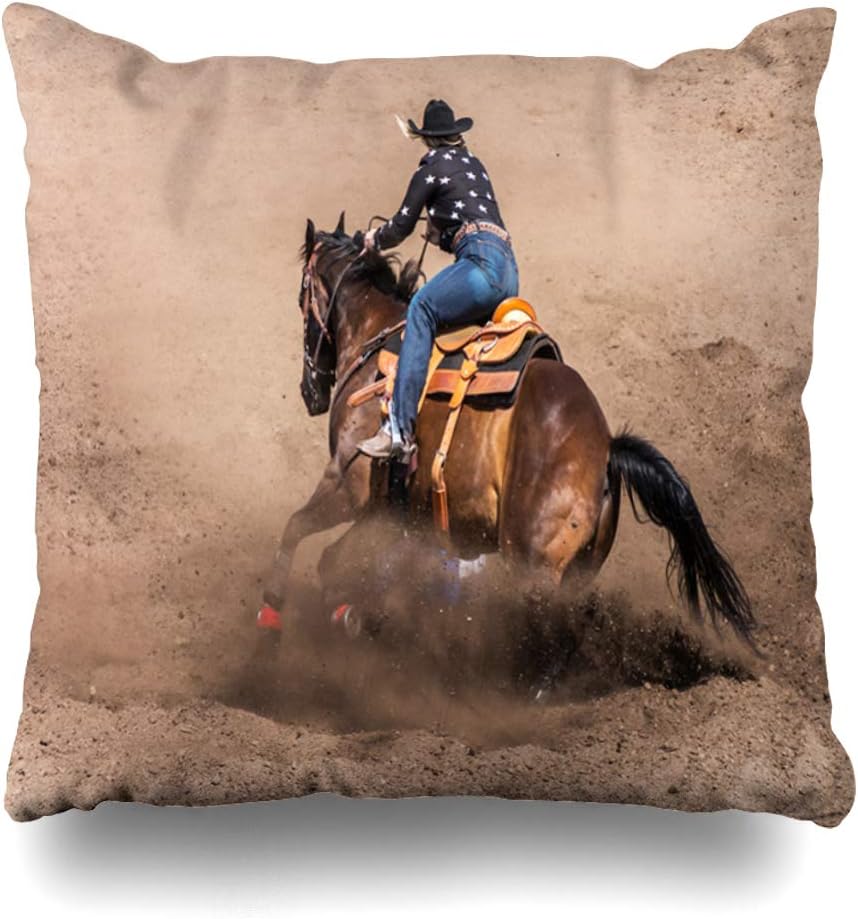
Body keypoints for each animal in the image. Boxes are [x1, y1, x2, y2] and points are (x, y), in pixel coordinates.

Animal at [256, 212, 756, 673]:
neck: (377, 345)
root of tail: (607, 447)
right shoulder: (389, 510)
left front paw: (272, 617)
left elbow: (296, 528)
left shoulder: (348, 483)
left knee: (547, 639)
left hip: (533, 567)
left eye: (301, 296)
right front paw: (351, 615)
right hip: (576, 571)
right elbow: (334, 560)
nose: (310, 392)